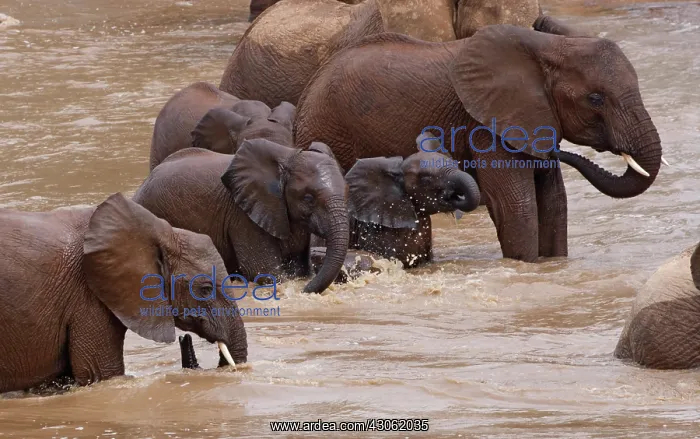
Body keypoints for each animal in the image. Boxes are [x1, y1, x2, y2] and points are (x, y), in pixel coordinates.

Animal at [133, 140, 349, 294]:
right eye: (308, 198)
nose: (303, 291)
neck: (288, 156)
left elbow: (300, 267)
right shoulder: (243, 216)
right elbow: (264, 271)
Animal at [293, 16, 666, 263]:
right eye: (596, 99)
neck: (547, 48)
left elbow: (554, 202)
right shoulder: (484, 123)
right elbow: (517, 205)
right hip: (326, 128)